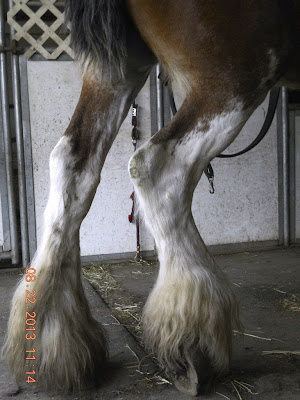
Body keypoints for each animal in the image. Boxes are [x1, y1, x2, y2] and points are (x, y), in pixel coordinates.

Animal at [2, 0, 300, 396]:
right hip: (235, 76)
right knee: (159, 167)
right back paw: (191, 343)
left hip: (116, 68)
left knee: (72, 161)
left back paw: (52, 340)